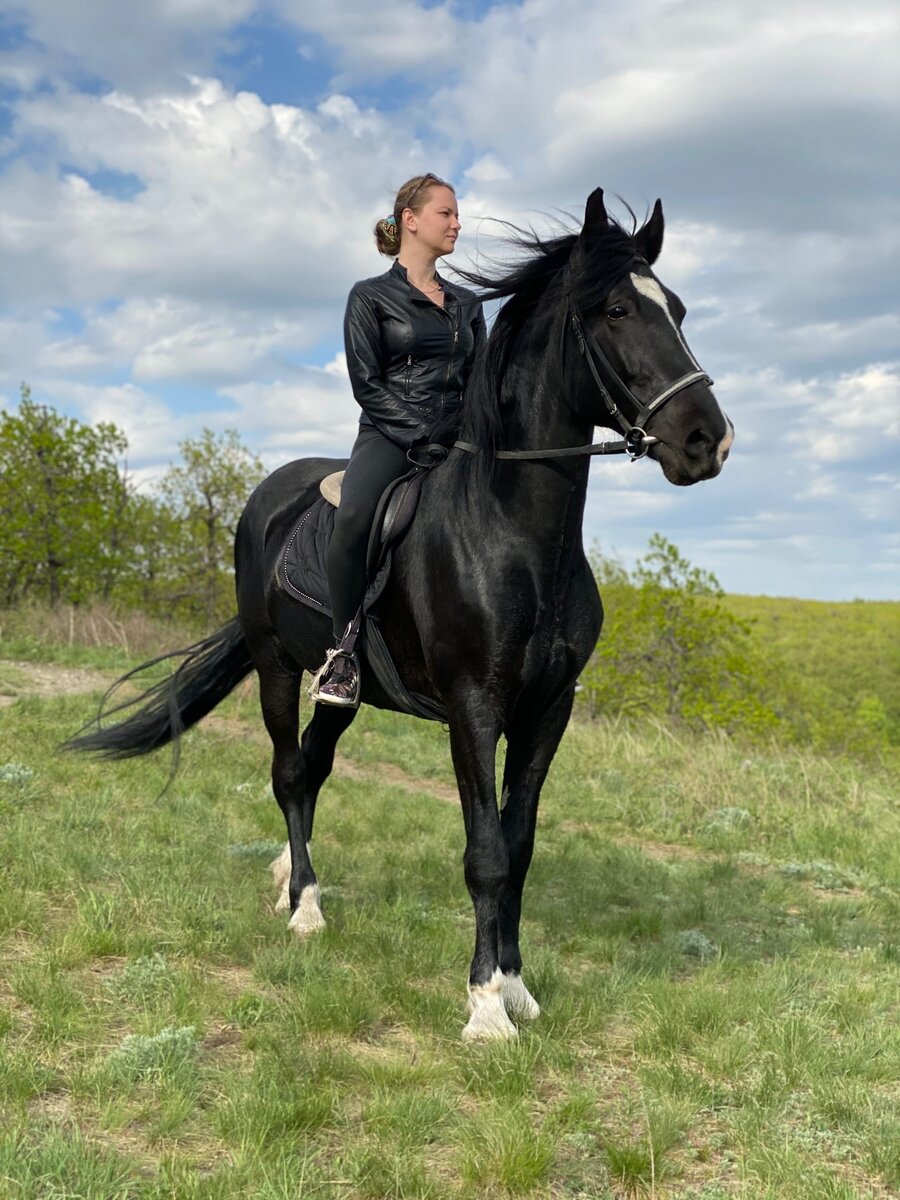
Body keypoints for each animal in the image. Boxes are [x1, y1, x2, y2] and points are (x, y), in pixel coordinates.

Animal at [70, 189, 734, 1041]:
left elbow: (518, 846)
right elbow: (485, 853)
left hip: (341, 690)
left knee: (313, 768)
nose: (707, 441)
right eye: (618, 310)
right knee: (288, 770)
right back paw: (305, 908)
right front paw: (485, 1009)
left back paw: (288, 879)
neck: (513, 531)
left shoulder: (547, 711)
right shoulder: (474, 709)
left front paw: (518, 987)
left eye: (676, 309)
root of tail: (268, 496)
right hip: (278, 668)